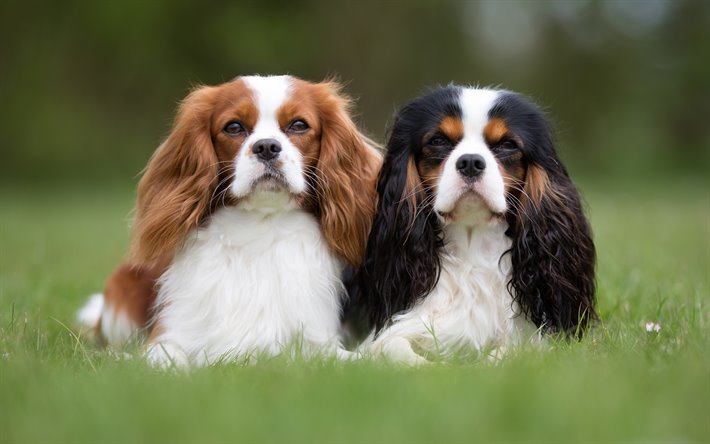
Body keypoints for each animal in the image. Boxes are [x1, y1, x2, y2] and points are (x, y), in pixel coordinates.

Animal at [78, 75, 384, 368]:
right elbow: (165, 359)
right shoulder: (168, 335)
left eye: (299, 125)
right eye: (234, 127)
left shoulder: (317, 342)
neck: (260, 227)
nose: (267, 146)